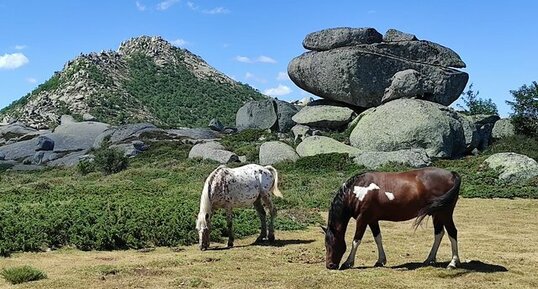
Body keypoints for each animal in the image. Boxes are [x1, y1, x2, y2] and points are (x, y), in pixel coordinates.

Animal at [322, 166, 460, 270]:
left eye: (329, 243)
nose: (330, 265)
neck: (356, 192)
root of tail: (452, 174)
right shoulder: (372, 220)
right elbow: (378, 238)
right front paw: (380, 261)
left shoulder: (363, 219)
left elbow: (356, 241)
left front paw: (348, 263)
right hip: (437, 214)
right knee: (439, 233)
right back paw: (429, 259)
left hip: (445, 213)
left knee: (452, 232)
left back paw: (453, 263)